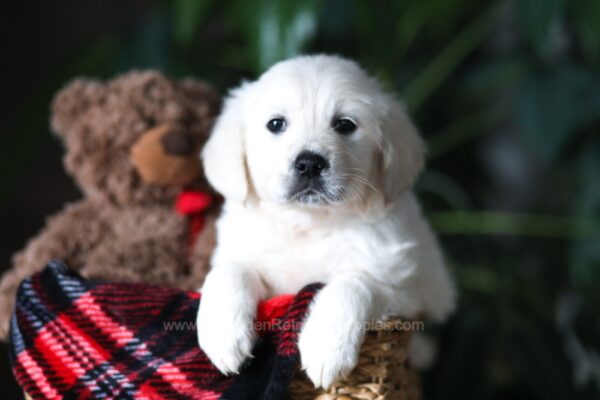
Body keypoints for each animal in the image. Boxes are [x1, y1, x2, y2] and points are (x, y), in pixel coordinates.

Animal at [197, 54, 454, 390]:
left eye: (345, 124)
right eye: (276, 124)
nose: (309, 163)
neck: (310, 223)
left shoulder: (402, 290)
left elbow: (354, 284)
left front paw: (325, 348)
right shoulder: (241, 254)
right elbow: (228, 271)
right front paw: (223, 336)